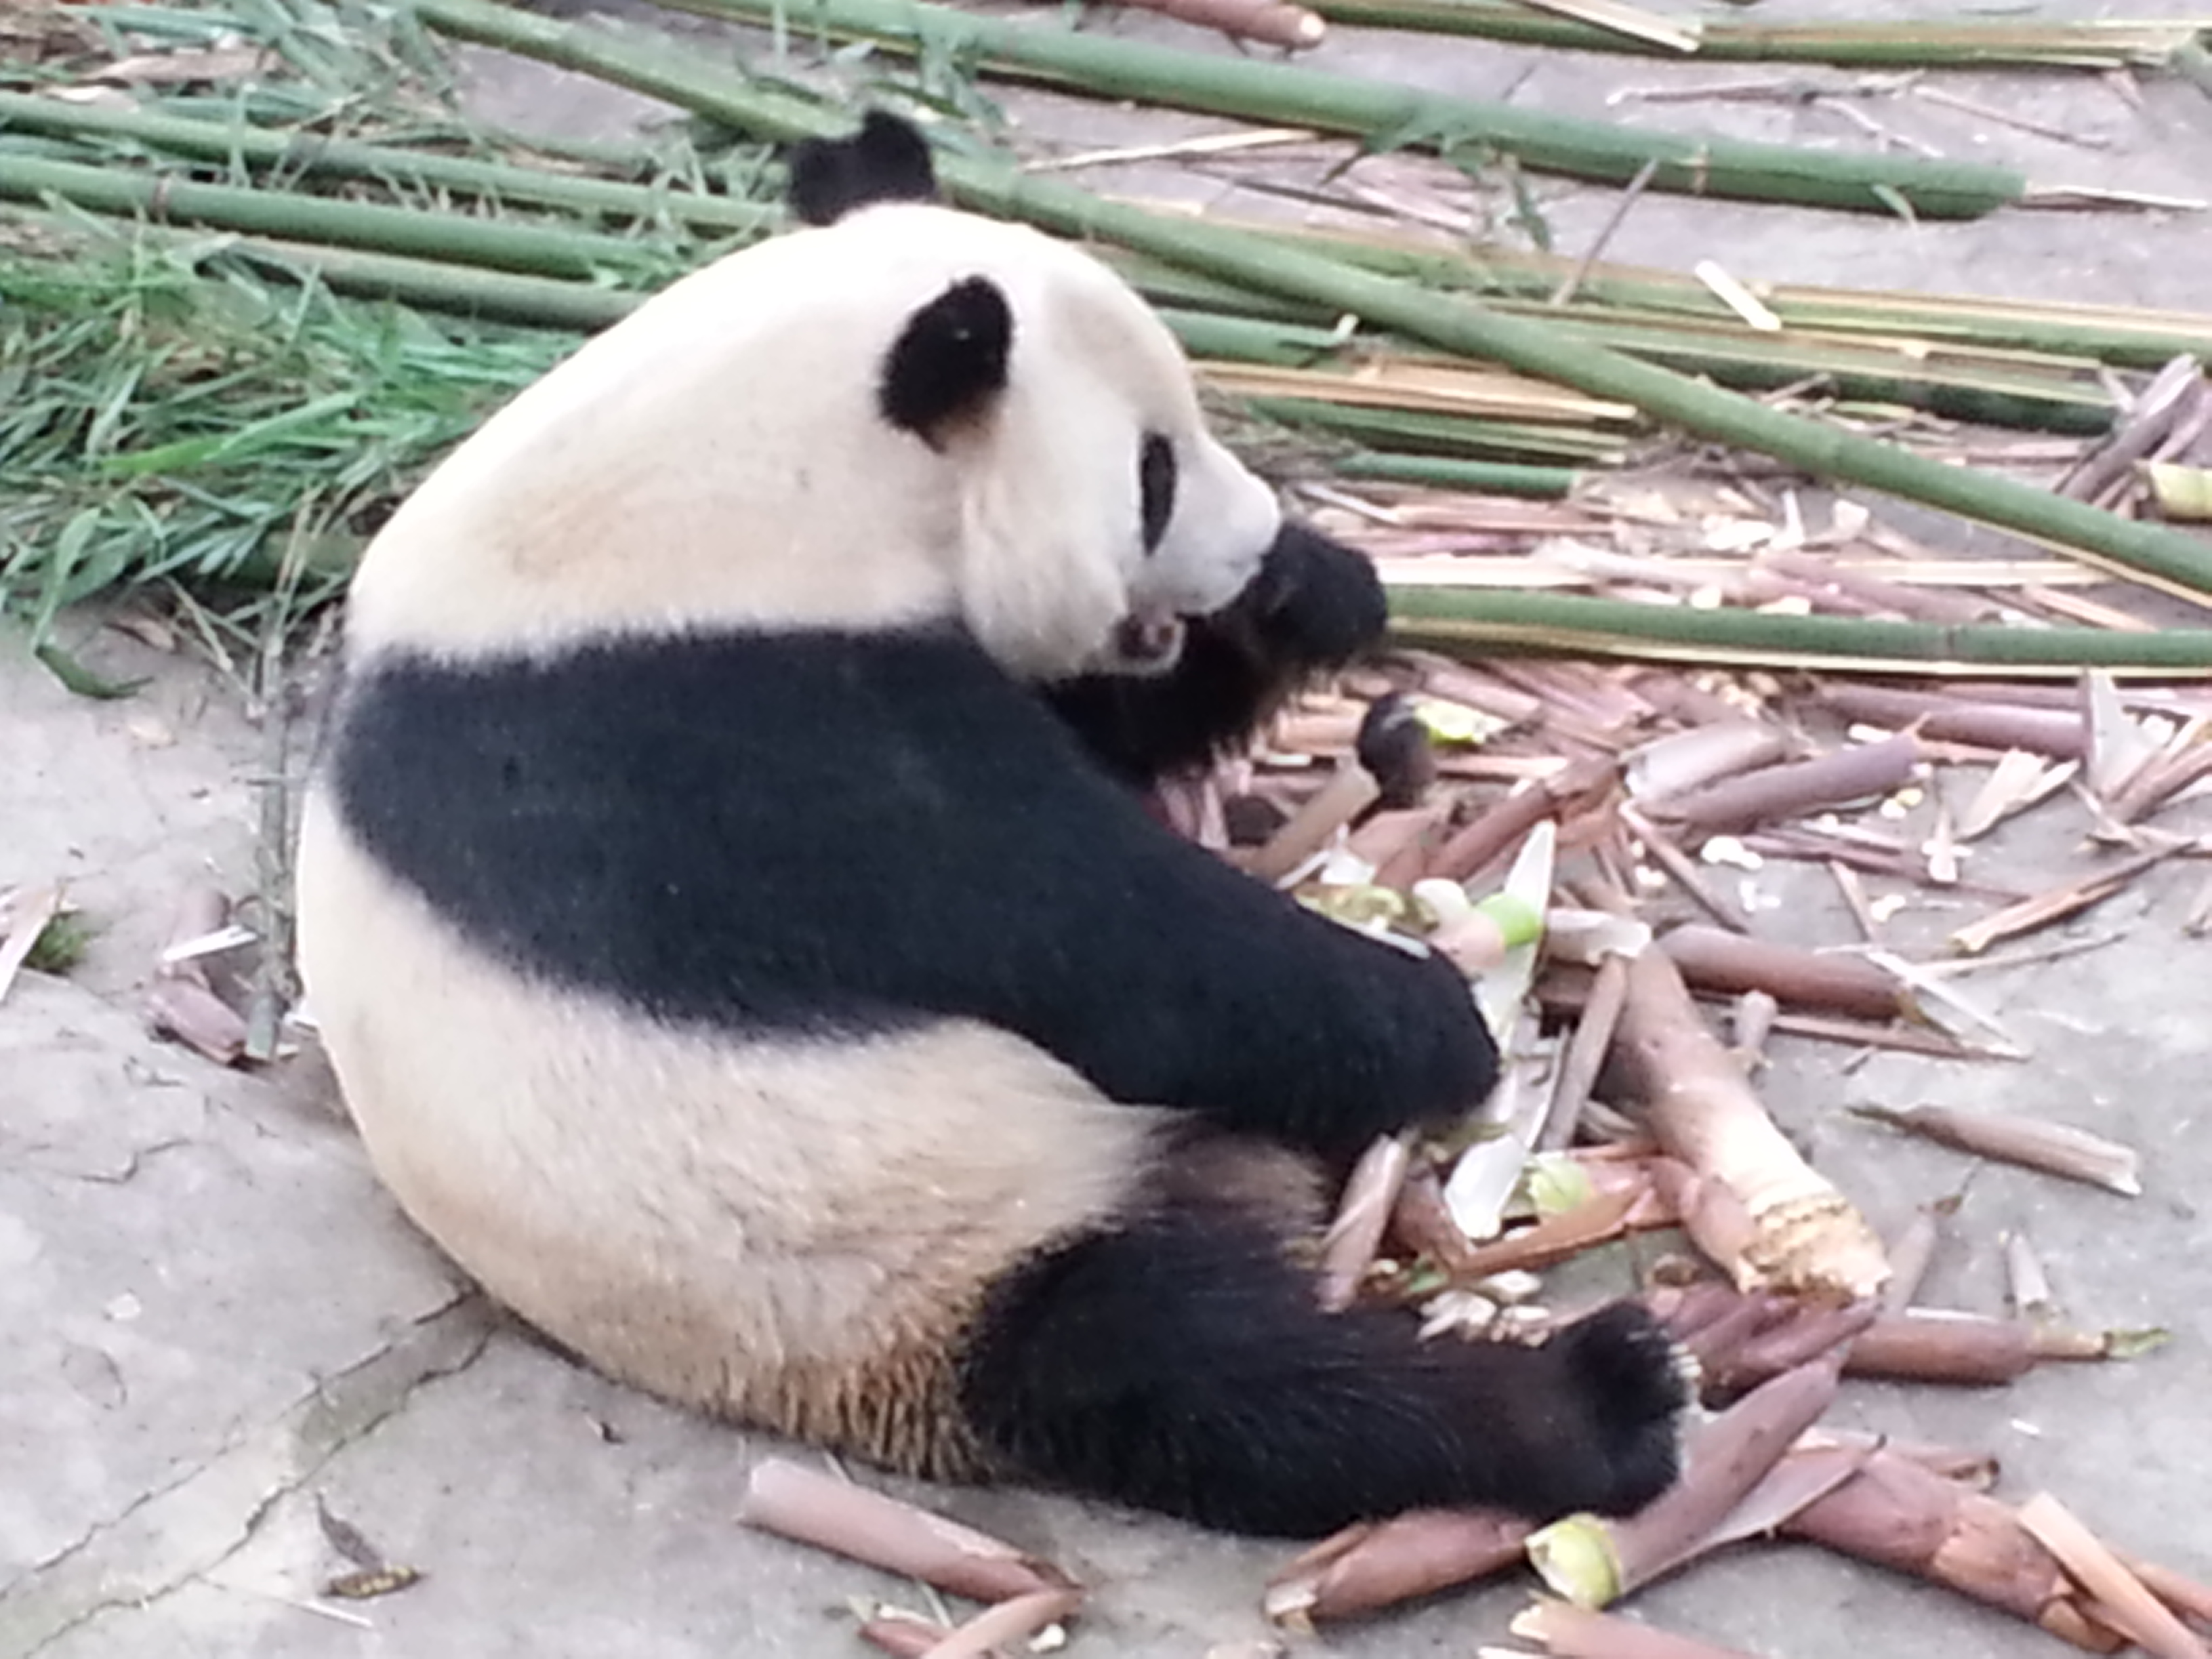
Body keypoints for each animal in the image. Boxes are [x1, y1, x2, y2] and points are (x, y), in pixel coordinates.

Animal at [289, 107, 1672, 1548]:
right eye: (1150, 474)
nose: (1245, 545)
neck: (702, 485)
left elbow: (1101, 733)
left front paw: (1308, 595)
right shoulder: (712, 741)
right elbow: (1109, 944)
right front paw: (1434, 1020)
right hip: (903, 1248)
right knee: (1196, 1377)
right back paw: (1588, 1404)